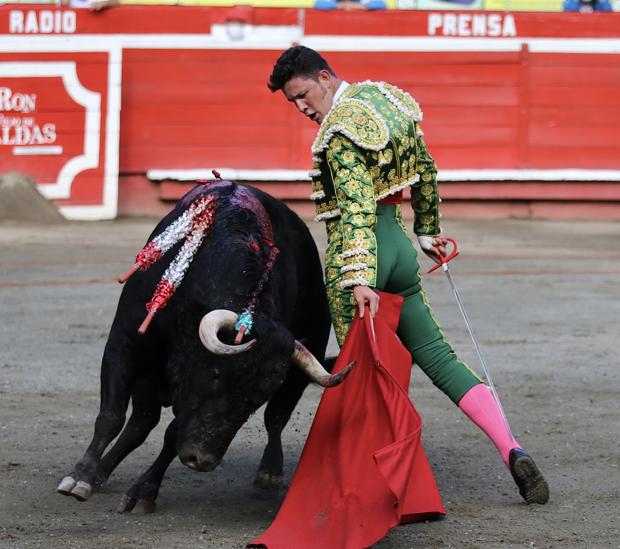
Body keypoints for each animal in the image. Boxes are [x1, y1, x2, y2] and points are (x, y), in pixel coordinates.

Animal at [56, 182, 352, 512]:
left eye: (257, 398)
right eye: (216, 375)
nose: (202, 460)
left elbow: (173, 433)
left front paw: (142, 490)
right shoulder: (123, 343)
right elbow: (111, 415)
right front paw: (81, 476)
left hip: (304, 359)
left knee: (275, 419)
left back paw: (269, 473)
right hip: (147, 376)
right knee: (140, 422)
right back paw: (101, 472)